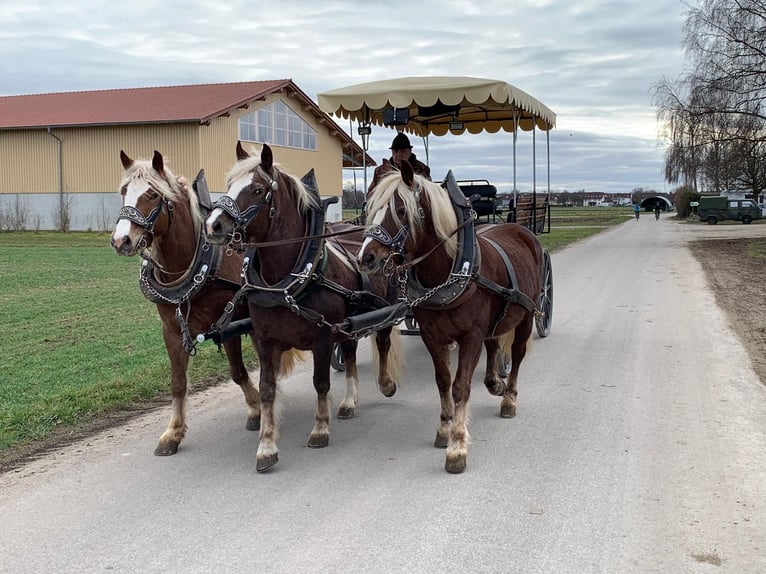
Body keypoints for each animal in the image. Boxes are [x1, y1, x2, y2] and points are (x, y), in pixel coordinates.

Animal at [111, 150, 276, 456]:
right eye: (124, 191)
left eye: (152, 194)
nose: (121, 240)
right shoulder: (172, 330)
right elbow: (178, 383)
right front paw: (173, 433)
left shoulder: (228, 325)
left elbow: (237, 372)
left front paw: (256, 408)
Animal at [205, 142, 401, 472]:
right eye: (229, 185)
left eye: (258, 190)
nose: (213, 225)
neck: (287, 281)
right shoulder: (265, 341)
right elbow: (267, 389)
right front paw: (266, 445)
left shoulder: (322, 337)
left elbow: (320, 382)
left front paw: (320, 429)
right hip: (346, 325)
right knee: (350, 354)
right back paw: (349, 402)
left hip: (384, 309)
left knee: (383, 341)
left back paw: (385, 383)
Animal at [358, 160, 544, 473]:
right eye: (370, 207)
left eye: (400, 209)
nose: (365, 258)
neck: (450, 271)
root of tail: (519, 229)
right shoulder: (433, 336)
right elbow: (443, 380)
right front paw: (444, 428)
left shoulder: (470, 337)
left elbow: (460, 387)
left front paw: (457, 446)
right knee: (493, 344)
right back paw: (494, 383)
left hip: (528, 313)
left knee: (517, 353)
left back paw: (509, 397)